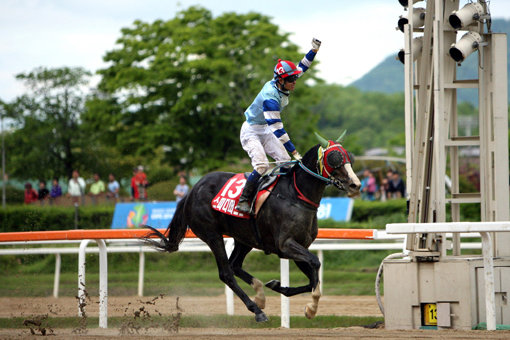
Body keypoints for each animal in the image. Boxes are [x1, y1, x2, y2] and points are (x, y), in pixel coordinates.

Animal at [143, 133, 360, 322]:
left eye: (350, 157)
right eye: (334, 157)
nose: (355, 185)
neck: (296, 196)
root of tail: (191, 191)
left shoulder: (299, 246)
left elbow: (312, 277)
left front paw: (279, 287)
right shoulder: (286, 245)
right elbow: (315, 265)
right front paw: (312, 307)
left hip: (244, 238)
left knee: (234, 265)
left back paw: (260, 294)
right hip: (212, 235)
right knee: (226, 273)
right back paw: (257, 310)